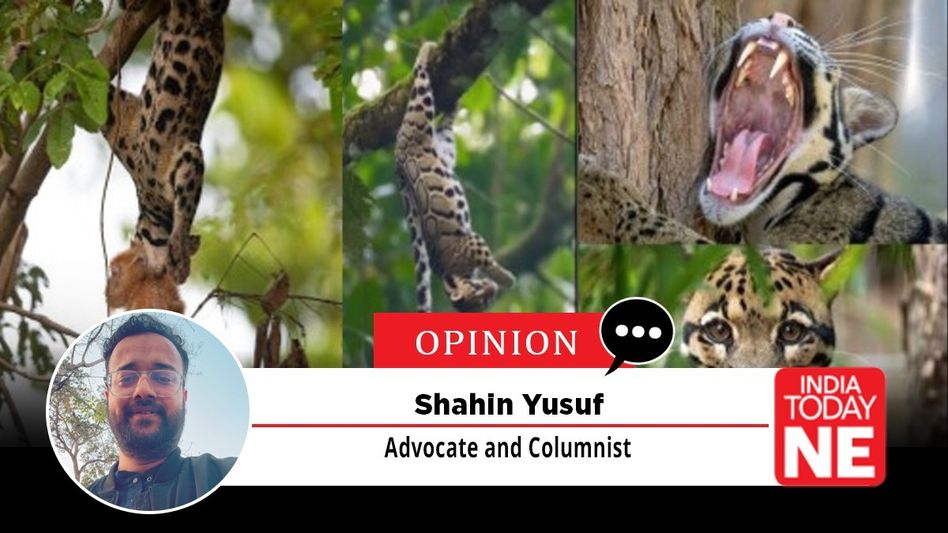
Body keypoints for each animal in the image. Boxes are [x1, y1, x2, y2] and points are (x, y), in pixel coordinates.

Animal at [395, 42, 515, 312]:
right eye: (482, 300)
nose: (491, 293)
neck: (452, 273)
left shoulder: (472, 242)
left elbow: (488, 260)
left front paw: (503, 277)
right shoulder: (471, 241)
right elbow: (488, 260)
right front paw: (505, 278)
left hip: (423, 127)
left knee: (425, 93)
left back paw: (427, 55)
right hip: (434, 137)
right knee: (439, 114)